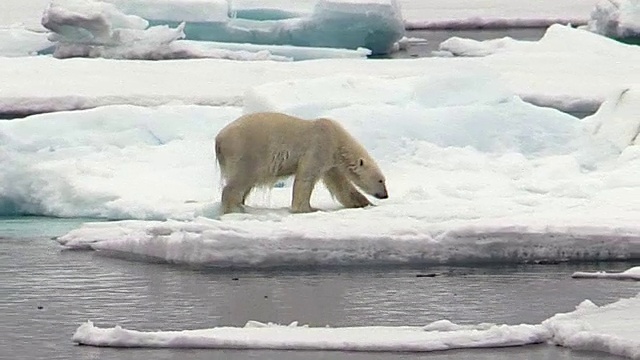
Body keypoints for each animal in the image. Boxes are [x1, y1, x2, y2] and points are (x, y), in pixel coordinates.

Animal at [215, 111, 388, 215]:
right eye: (380, 180)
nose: (385, 195)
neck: (337, 140)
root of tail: (219, 139)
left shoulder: (330, 163)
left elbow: (340, 185)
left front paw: (365, 203)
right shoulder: (319, 147)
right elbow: (306, 178)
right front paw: (307, 209)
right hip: (247, 152)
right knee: (240, 181)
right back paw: (234, 209)